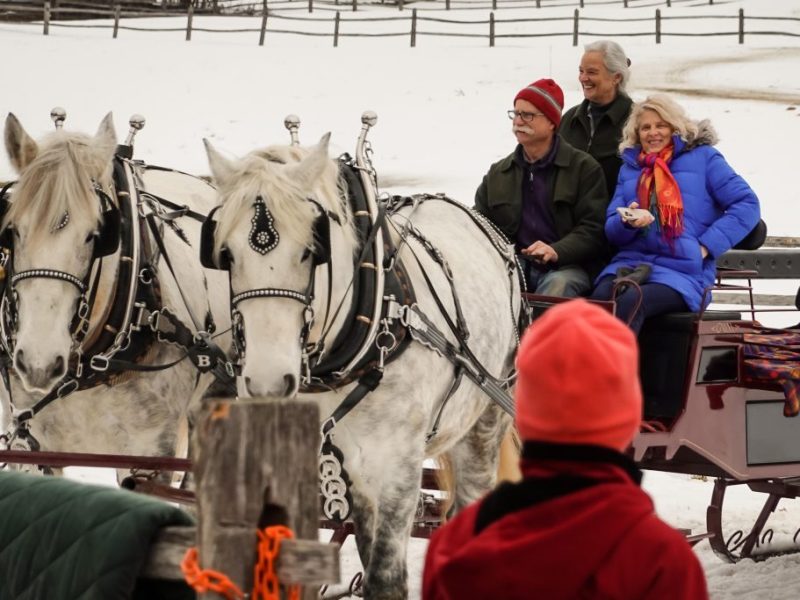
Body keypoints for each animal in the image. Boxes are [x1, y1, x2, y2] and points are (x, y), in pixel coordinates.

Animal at [203, 134, 520, 596]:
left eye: (312, 251)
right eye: (225, 254)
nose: (266, 384)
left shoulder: (395, 470)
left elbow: (385, 579)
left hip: (486, 418)